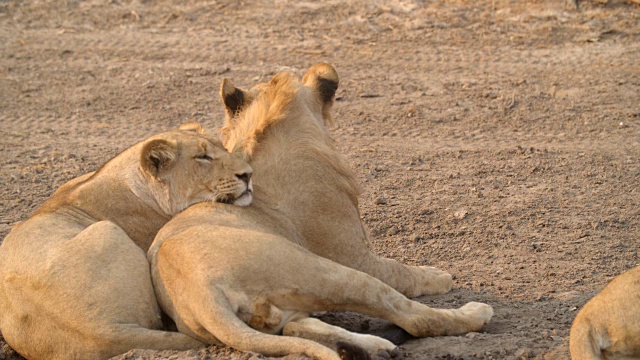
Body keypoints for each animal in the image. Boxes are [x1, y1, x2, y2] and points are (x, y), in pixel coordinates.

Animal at [146, 63, 496, 358]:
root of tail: (201, 295)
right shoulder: (357, 257)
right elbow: (403, 272)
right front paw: (437, 275)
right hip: (323, 270)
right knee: (412, 317)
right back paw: (474, 313)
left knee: (297, 327)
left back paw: (375, 347)